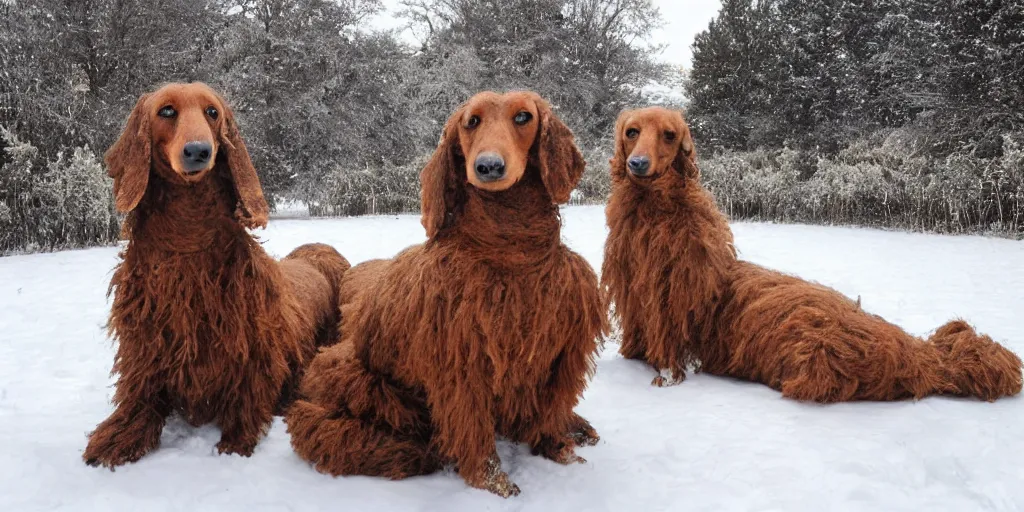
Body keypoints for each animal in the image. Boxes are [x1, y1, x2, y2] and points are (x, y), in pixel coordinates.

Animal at [81, 80, 352, 468]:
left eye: (212, 112)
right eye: (166, 111)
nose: (199, 151)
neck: (188, 248)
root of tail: (321, 247)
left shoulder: (251, 352)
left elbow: (247, 400)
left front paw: (237, 442)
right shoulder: (146, 348)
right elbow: (139, 401)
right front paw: (116, 437)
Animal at [286, 91, 606, 495]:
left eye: (523, 117)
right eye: (471, 122)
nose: (488, 167)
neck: (511, 257)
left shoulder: (560, 352)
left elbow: (548, 410)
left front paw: (557, 447)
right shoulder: (460, 359)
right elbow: (473, 427)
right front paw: (491, 481)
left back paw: (575, 425)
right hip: (367, 390)